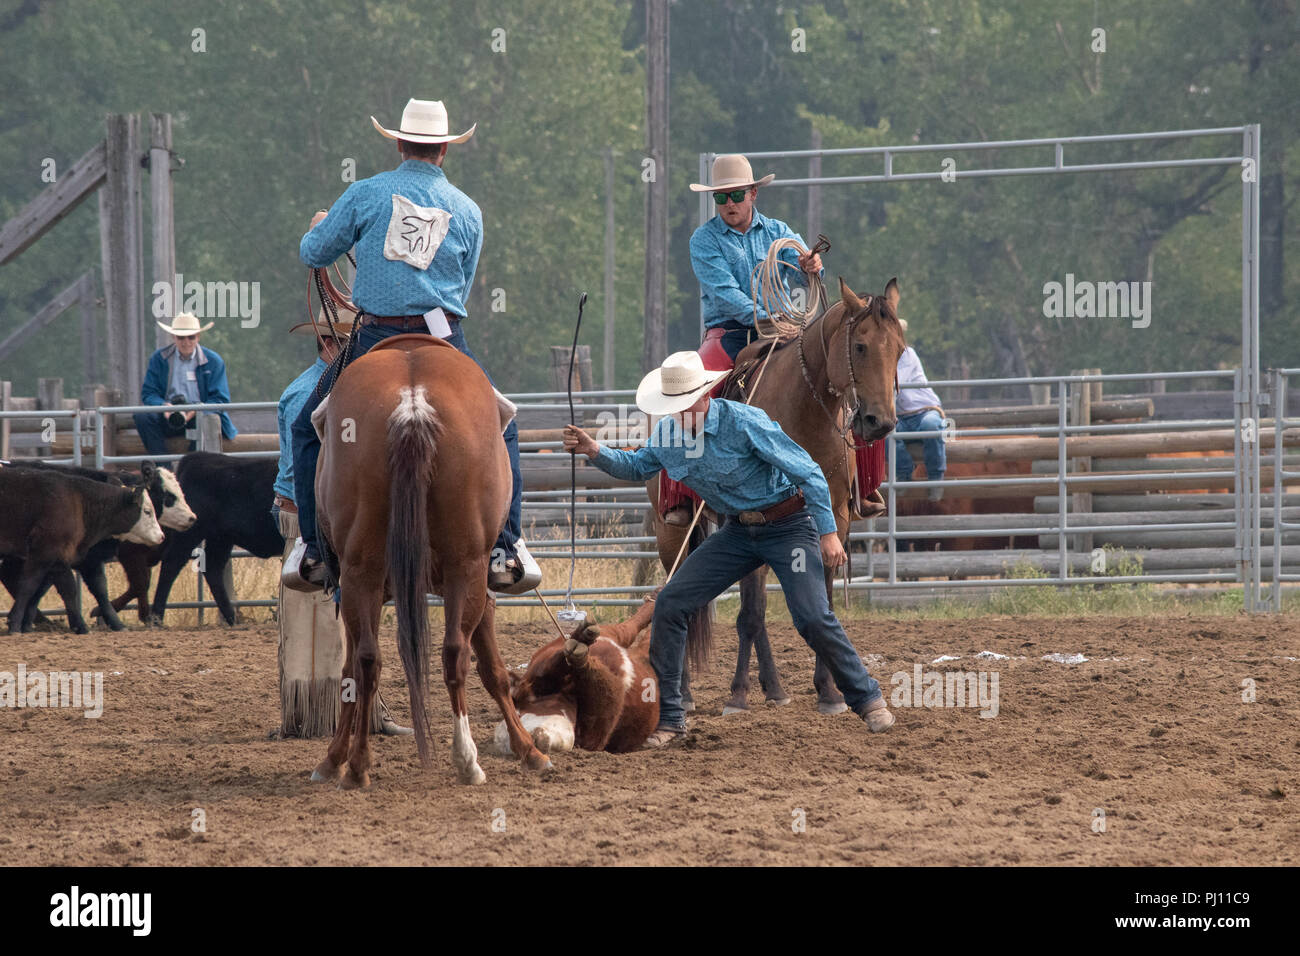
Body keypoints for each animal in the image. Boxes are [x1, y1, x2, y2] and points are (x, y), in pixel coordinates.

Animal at [310, 332, 553, 790]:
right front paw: (529, 750)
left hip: (364, 572)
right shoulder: (482, 587)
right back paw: (464, 761)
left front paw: (333, 758)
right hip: (462, 567)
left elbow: (351, 670)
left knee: (369, 661)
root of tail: (412, 403)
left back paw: (359, 766)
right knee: (450, 653)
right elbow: (493, 668)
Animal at [493, 598, 660, 754]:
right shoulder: (594, 735)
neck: (569, 692)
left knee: (629, 627)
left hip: (613, 632)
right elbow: (608, 696)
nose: (534, 742)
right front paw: (581, 659)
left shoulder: (541, 668)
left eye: (518, 717)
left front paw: (580, 642)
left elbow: (546, 670)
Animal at [647, 277, 904, 717]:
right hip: (672, 533)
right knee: (683, 597)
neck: (804, 411)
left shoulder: (834, 518)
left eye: (900, 349)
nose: (880, 422)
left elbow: (823, 602)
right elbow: (749, 613)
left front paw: (829, 692)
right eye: (860, 346)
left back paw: (774, 688)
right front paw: (736, 695)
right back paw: (687, 692)